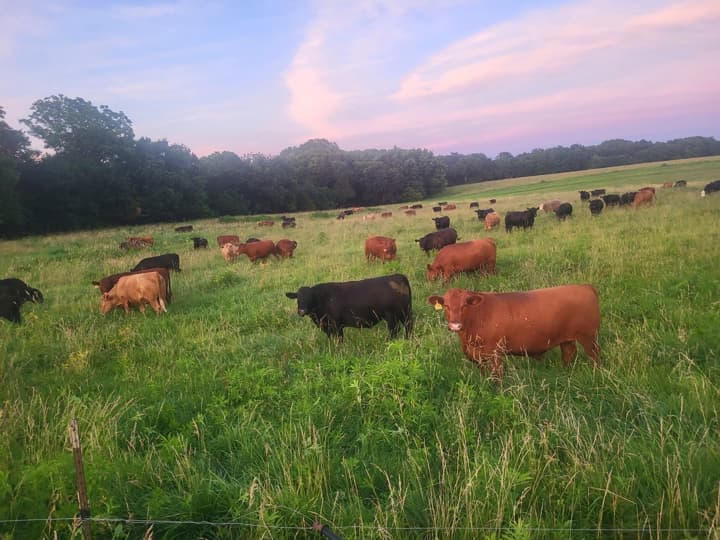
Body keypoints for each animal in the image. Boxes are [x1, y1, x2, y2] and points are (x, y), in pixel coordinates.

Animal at [428, 285, 600, 381]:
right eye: (446, 306)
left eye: (465, 305)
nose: (455, 325)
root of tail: (584, 286)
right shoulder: (476, 356)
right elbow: (483, 375)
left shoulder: (496, 354)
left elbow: (497, 378)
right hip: (567, 339)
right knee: (568, 354)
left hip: (589, 339)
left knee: (595, 358)